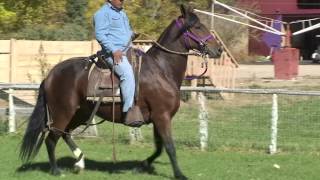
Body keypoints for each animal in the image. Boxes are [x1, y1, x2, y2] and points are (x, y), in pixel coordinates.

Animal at [19, 4, 222, 179]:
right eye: (198, 26)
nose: (218, 49)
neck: (161, 69)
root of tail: (50, 75)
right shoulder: (162, 116)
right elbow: (169, 147)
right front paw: (179, 174)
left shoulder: (158, 119)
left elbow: (159, 148)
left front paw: (141, 165)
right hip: (63, 112)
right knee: (51, 138)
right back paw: (56, 170)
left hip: (80, 113)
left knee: (65, 133)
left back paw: (80, 162)